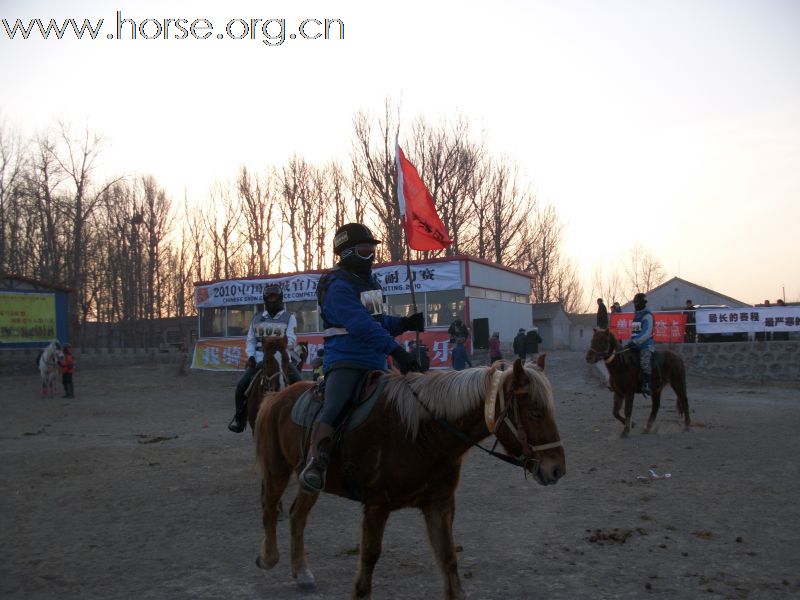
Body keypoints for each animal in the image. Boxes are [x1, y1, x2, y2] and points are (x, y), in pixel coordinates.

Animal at [253, 356, 564, 600]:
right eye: (535, 413)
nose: (557, 469)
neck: (422, 433)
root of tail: (274, 398)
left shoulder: (439, 504)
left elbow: (449, 560)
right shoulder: (377, 507)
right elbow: (368, 562)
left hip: (310, 480)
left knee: (297, 515)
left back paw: (302, 573)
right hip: (277, 470)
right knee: (269, 509)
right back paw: (268, 558)